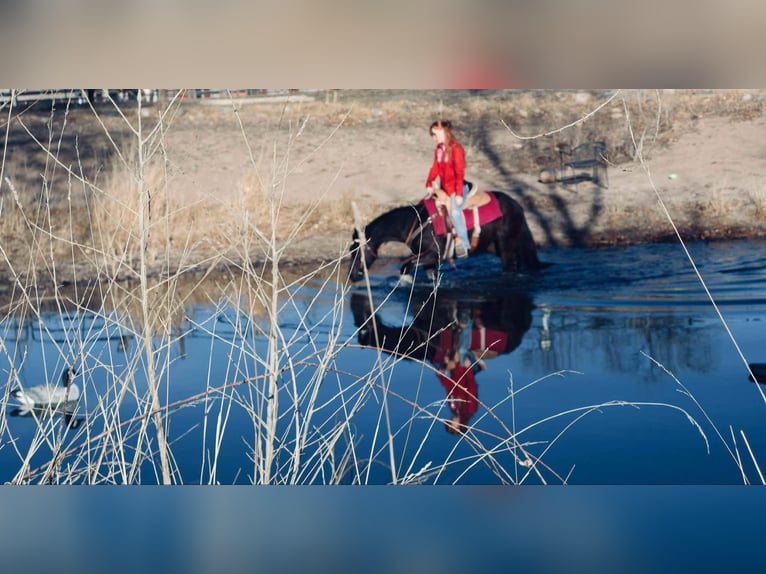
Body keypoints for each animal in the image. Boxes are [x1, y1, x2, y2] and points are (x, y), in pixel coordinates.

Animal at [348, 190, 540, 282]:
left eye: (356, 250)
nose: (353, 275)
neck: (418, 223)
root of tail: (517, 206)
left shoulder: (434, 255)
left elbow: (405, 265)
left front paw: (405, 281)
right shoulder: (429, 261)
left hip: (506, 245)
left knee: (510, 267)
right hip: (496, 246)